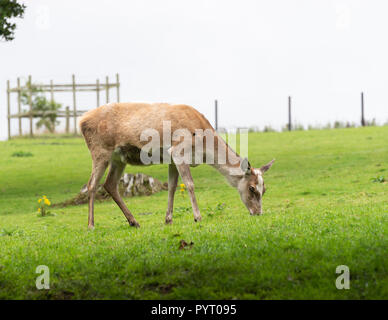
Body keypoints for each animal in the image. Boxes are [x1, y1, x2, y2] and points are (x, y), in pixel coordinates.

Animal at [79, 101, 272, 229]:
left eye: (264, 189)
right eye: (252, 188)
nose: (258, 212)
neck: (203, 147)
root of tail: (81, 120)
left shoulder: (171, 158)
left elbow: (172, 186)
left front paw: (168, 219)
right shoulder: (178, 150)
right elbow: (190, 184)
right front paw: (198, 217)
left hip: (119, 158)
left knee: (110, 184)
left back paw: (134, 221)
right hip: (100, 150)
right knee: (92, 184)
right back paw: (91, 225)